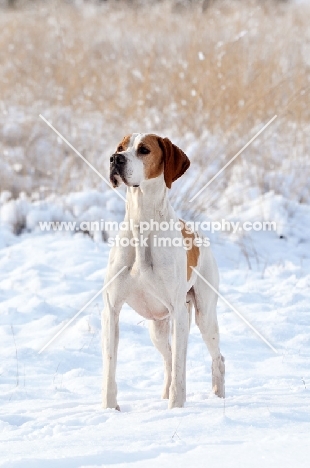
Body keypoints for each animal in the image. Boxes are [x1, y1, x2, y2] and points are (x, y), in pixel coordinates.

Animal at [102, 134, 225, 410]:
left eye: (144, 150)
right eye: (120, 147)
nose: (115, 159)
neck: (142, 222)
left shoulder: (178, 312)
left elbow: (181, 368)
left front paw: (176, 409)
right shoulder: (112, 310)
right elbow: (110, 366)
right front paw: (109, 409)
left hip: (204, 317)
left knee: (216, 359)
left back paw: (218, 396)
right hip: (157, 328)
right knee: (169, 358)